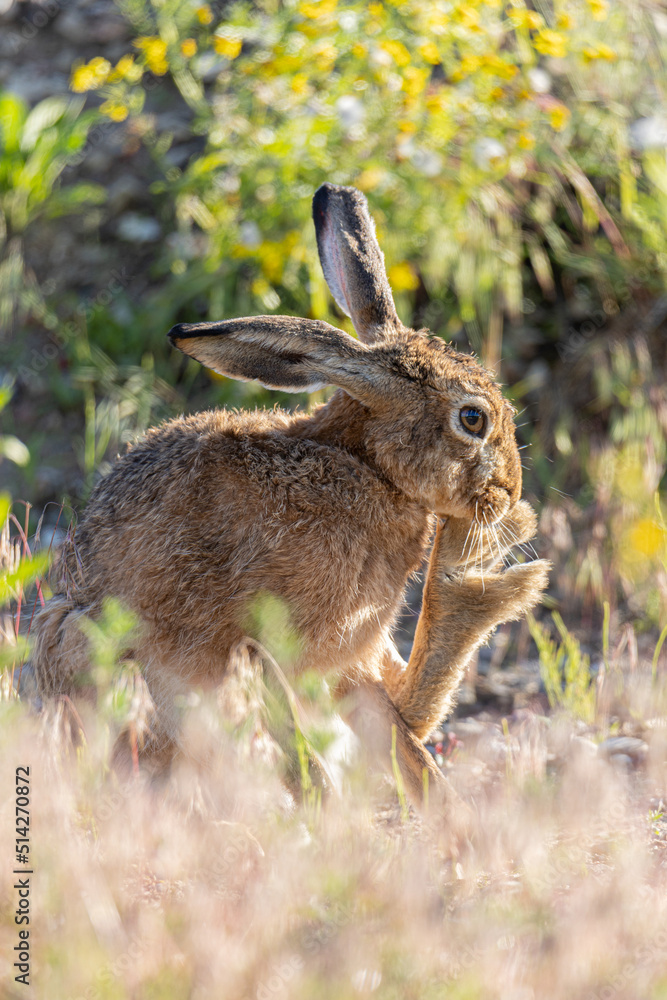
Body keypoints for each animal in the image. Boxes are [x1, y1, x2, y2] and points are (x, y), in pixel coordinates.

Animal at [31, 183, 549, 810]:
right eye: (473, 419)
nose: (509, 493)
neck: (368, 468)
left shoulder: (348, 659)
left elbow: (400, 741)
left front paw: (447, 815)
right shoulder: (262, 642)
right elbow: (300, 748)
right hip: (122, 663)